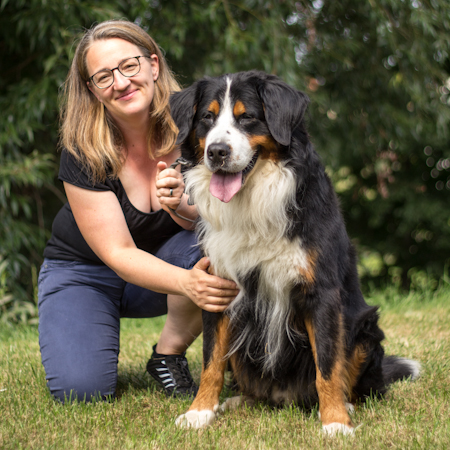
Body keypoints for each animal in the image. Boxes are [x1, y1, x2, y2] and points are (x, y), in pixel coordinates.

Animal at [168, 71, 418, 436]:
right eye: (206, 118)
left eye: (247, 117)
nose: (217, 152)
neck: (254, 201)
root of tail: (284, 396)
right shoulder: (219, 287)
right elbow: (211, 359)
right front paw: (199, 412)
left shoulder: (321, 293)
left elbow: (327, 365)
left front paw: (335, 422)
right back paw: (238, 400)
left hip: (363, 330)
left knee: (358, 384)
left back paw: (345, 405)